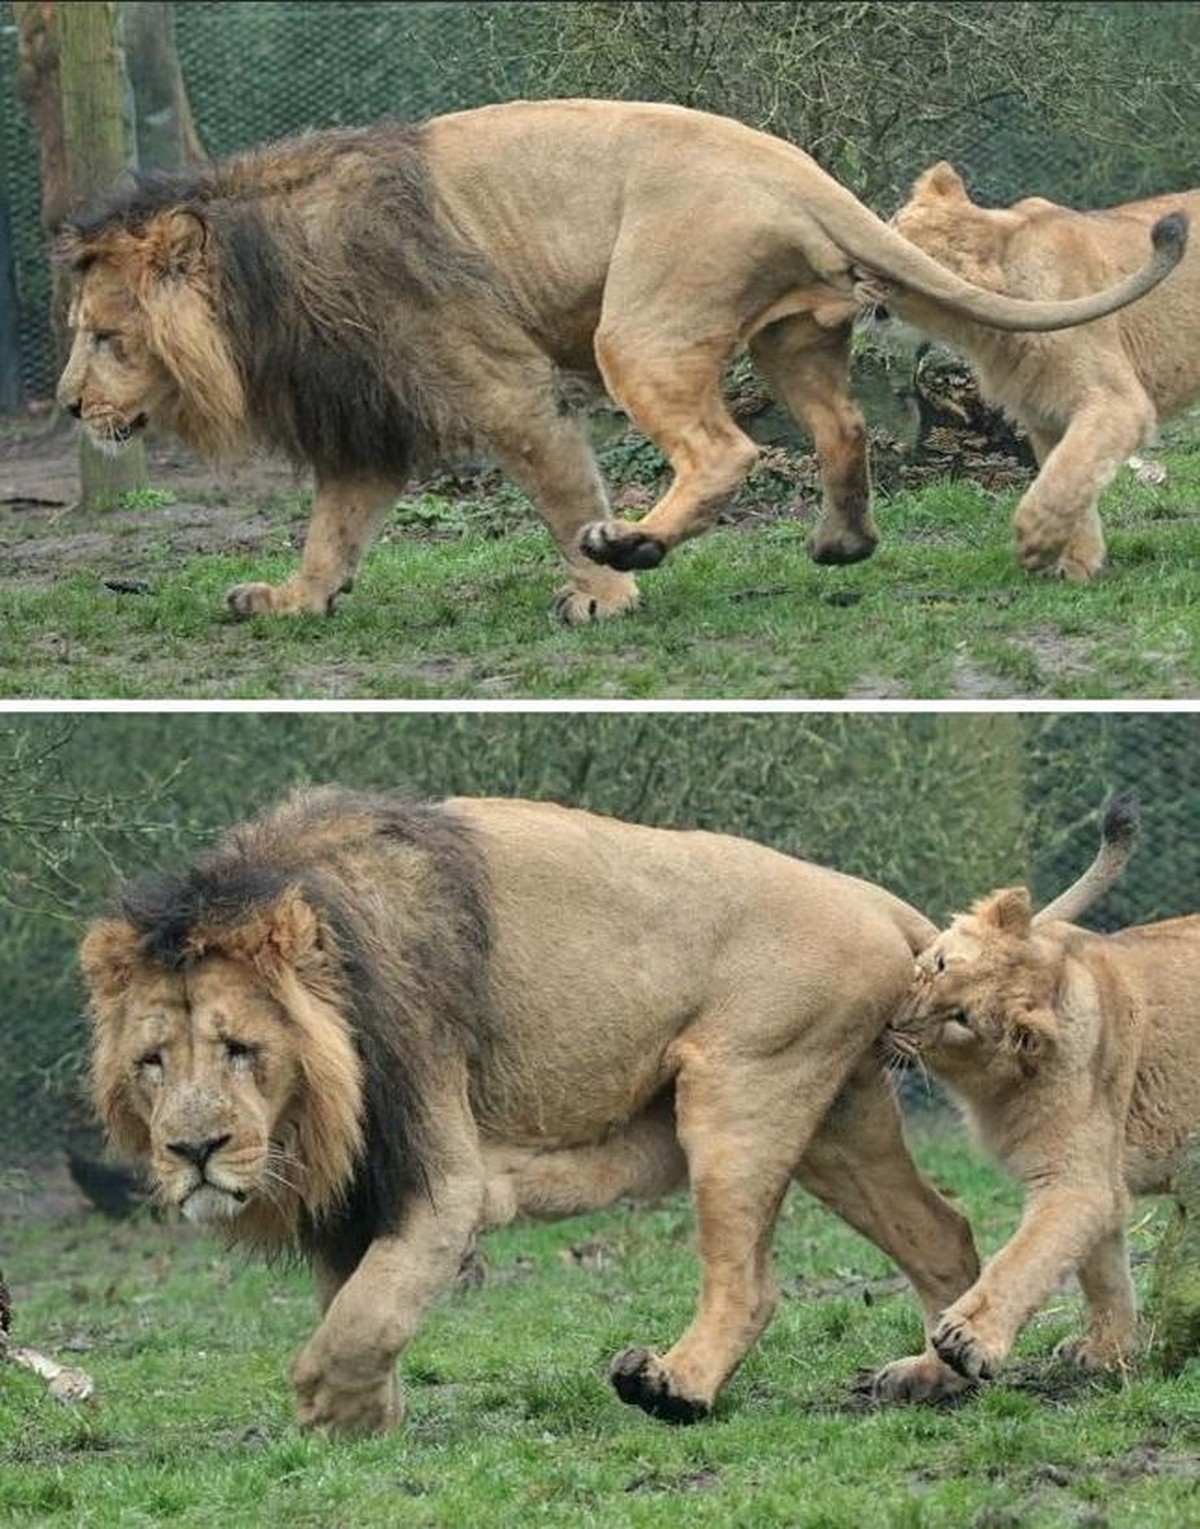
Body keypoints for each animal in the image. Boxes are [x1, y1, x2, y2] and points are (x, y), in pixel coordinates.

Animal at [81, 785, 993, 1435]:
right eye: (152, 1063)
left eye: (241, 1048)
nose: (195, 1148)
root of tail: (871, 898)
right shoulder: (358, 1192)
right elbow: (357, 1305)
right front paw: (365, 1423)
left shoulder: (442, 1177)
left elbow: (365, 1314)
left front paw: (327, 1408)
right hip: (837, 1120)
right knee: (941, 1231)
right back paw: (938, 1377)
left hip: (745, 1086)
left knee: (751, 1284)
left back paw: (674, 1388)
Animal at [869, 163, 1200, 580]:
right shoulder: (1045, 417)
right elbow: (1069, 479)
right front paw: (1076, 565)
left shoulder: (1118, 404)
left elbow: (1064, 476)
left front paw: (1034, 540)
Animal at [882, 792, 1200, 1386]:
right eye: (939, 963)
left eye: (961, 1019)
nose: (895, 1020)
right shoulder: (1101, 1183)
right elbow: (1105, 1275)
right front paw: (1108, 1352)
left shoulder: (1075, 1181)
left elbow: (1024, 1260)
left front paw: (966, 1341)